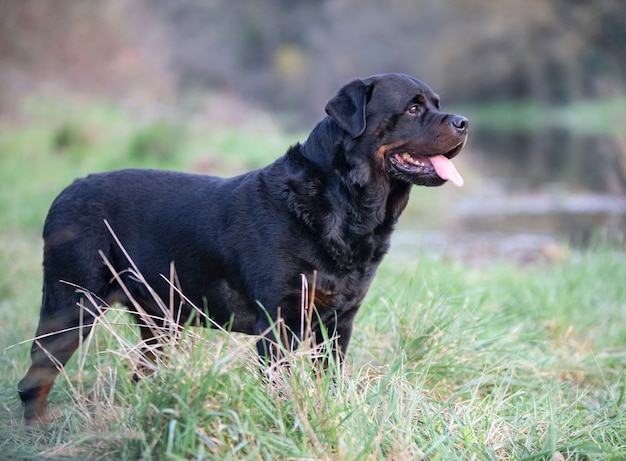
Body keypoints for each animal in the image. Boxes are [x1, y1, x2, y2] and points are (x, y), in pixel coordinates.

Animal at [17, 73, 466, 422]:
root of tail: (66, 191)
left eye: (437, 104)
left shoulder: (338, 324)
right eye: (413, 108)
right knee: (36, 377)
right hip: (73, 303)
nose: (463, 121)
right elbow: (281, 386)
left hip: (159, 321)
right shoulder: (278, 323)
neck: (346, 206)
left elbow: (330, 381)